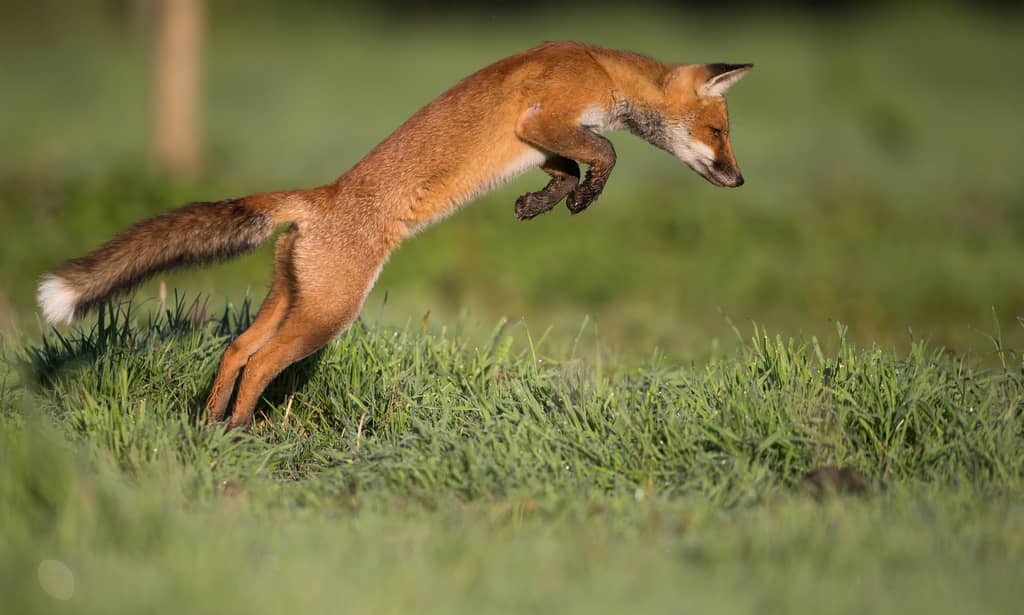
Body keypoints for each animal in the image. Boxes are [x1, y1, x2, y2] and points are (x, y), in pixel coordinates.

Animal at [37, 41, 753, 427]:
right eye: (719, 132)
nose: (741, 179)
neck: (602, 70)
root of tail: (319, 197)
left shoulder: (543, 138)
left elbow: (570, 163)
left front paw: (541, 201)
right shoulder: (542, 118)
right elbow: (604, 152)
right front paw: (579, 196)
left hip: (293, 300)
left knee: (237, 349)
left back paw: (210, 425)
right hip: (328, 314)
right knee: (262, 362)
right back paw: (240, 431)